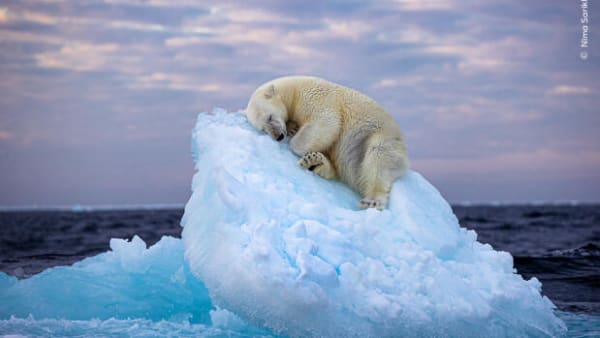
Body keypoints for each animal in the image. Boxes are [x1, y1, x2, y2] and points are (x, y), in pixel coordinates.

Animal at [244, 75, 408, 210]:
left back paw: (372, 201)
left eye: (270, 117)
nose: (278, 136)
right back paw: (315, 162)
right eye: (263, 128)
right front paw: (292, 128)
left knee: (378, 159)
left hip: (379, 136)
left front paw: (294, 139)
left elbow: (327, 123)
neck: (294, 90)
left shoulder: (316, 98)